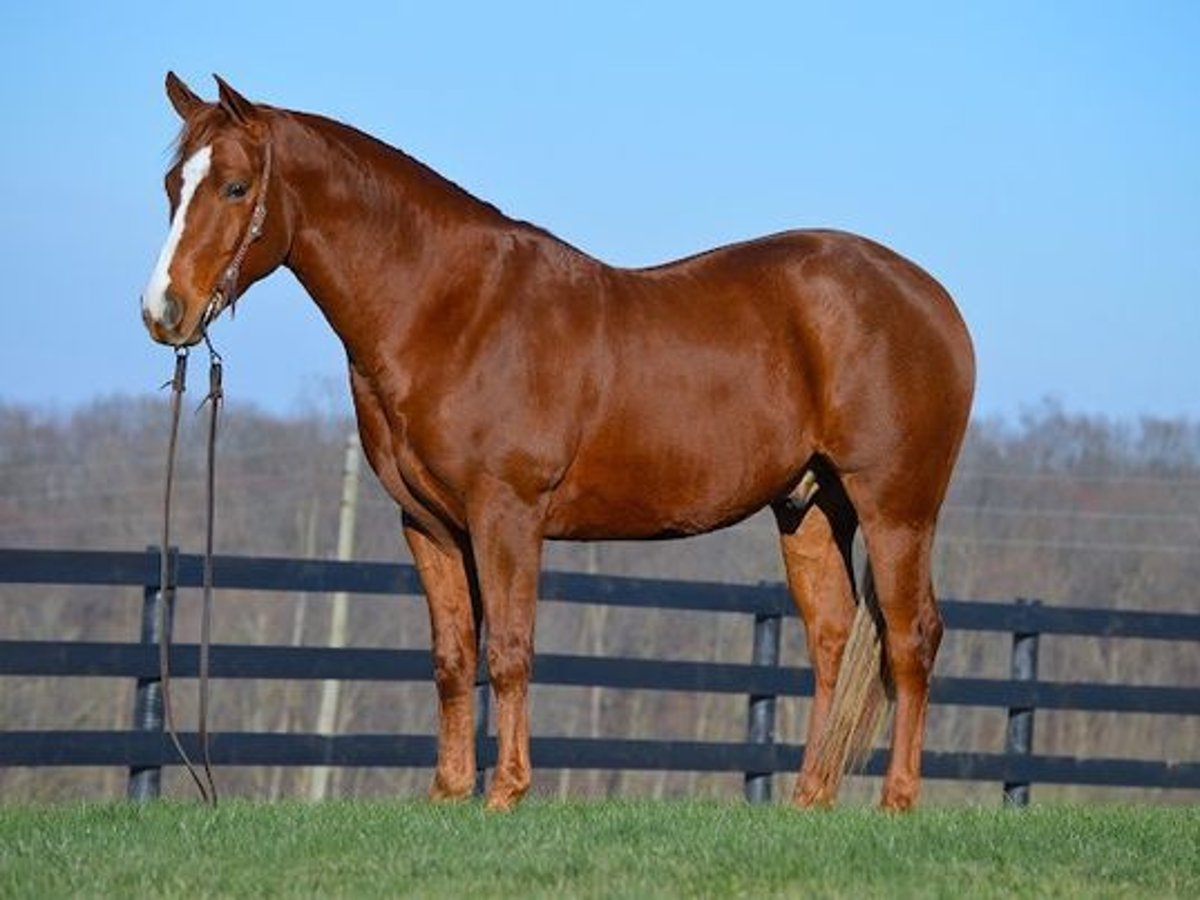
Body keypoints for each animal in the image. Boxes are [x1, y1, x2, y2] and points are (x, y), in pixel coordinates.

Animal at [140, 75, 974, 811]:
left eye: (236, 188)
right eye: (174, 184)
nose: (163, 311)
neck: (452, 310)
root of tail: (931, 298)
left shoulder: (507, 514)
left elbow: (510, 651)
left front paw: (506, 792)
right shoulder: (429, 526)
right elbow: (454, 659)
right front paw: (449, 792)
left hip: (896, 508)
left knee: (912, 637)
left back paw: (897, 801)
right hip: (808, 507)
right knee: (832, 639)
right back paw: (809, 799)